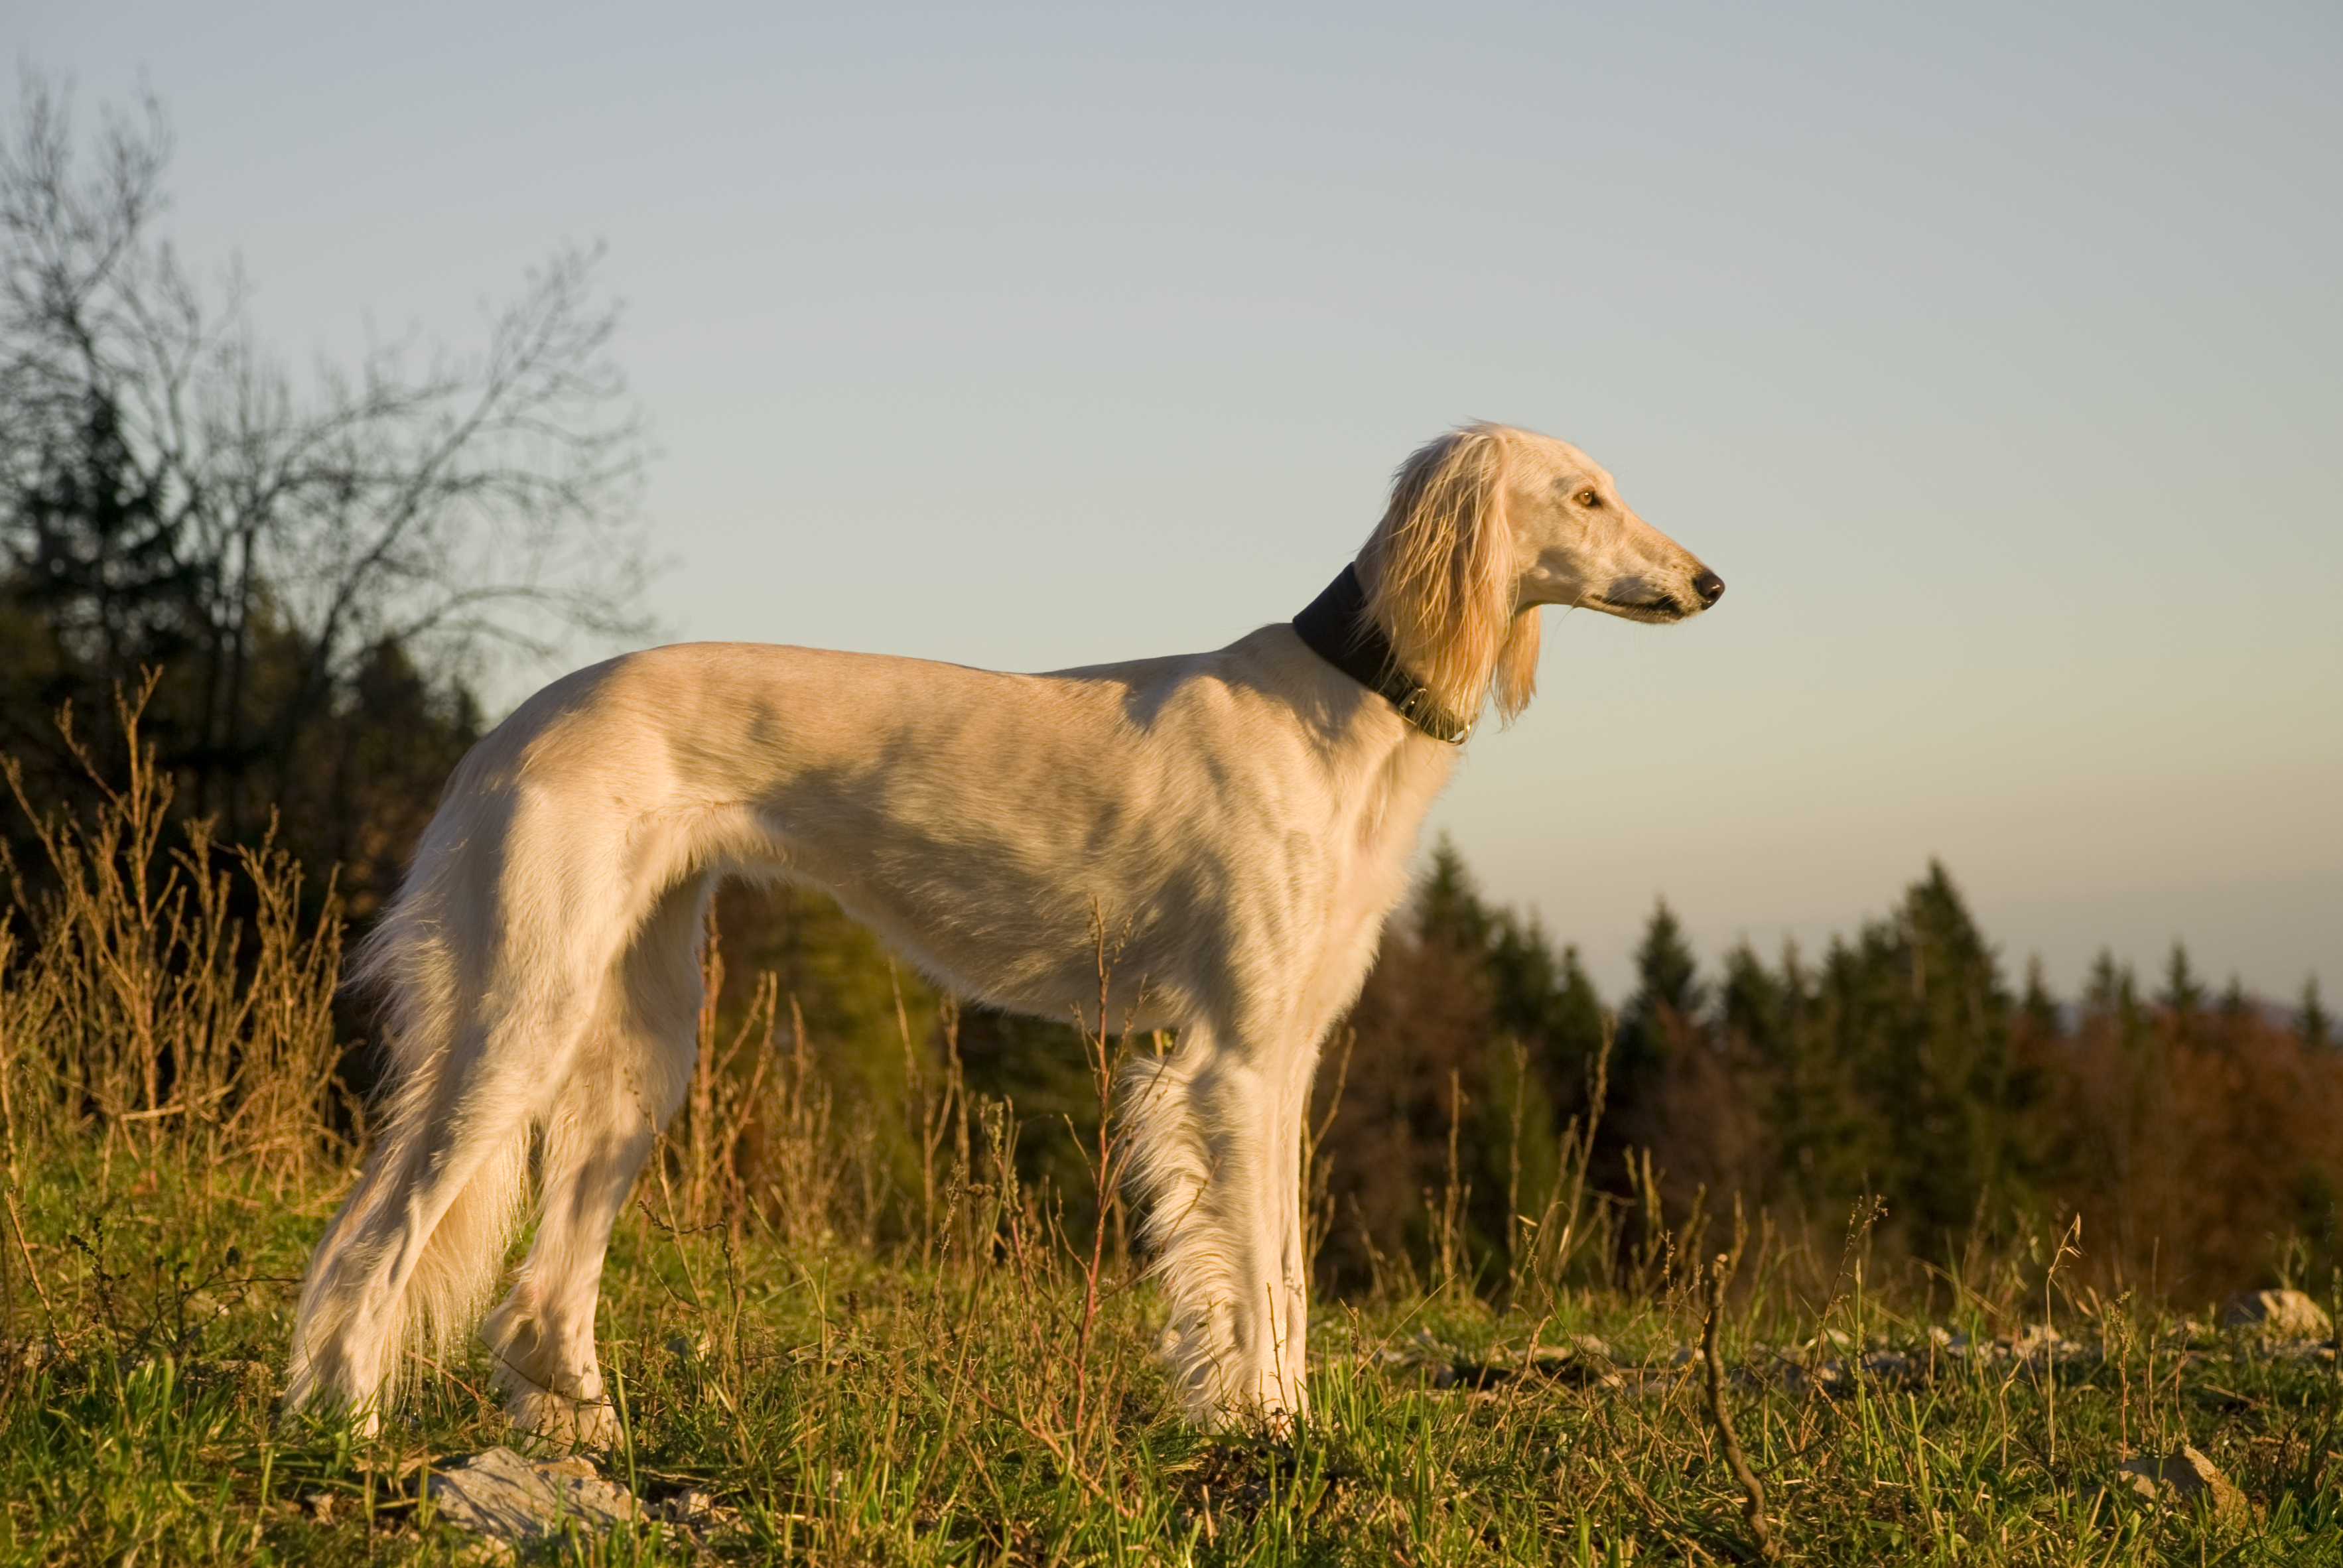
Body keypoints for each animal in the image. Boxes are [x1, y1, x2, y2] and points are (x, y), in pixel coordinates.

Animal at [284, 422, 1722, 1438]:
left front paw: (1283, 1425)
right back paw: (343, 1423)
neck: (1341, 707)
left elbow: (1290, 1276)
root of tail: (516, 719)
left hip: (639, 1041)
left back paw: (585, 1441)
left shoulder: (1285, 1056)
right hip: (520, 1012)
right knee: (379, 1232)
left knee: (538, 1292)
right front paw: (1265, 1430)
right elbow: (1257, 1277)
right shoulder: (1229, 1062)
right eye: (1583, 495)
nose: (1711, 580)